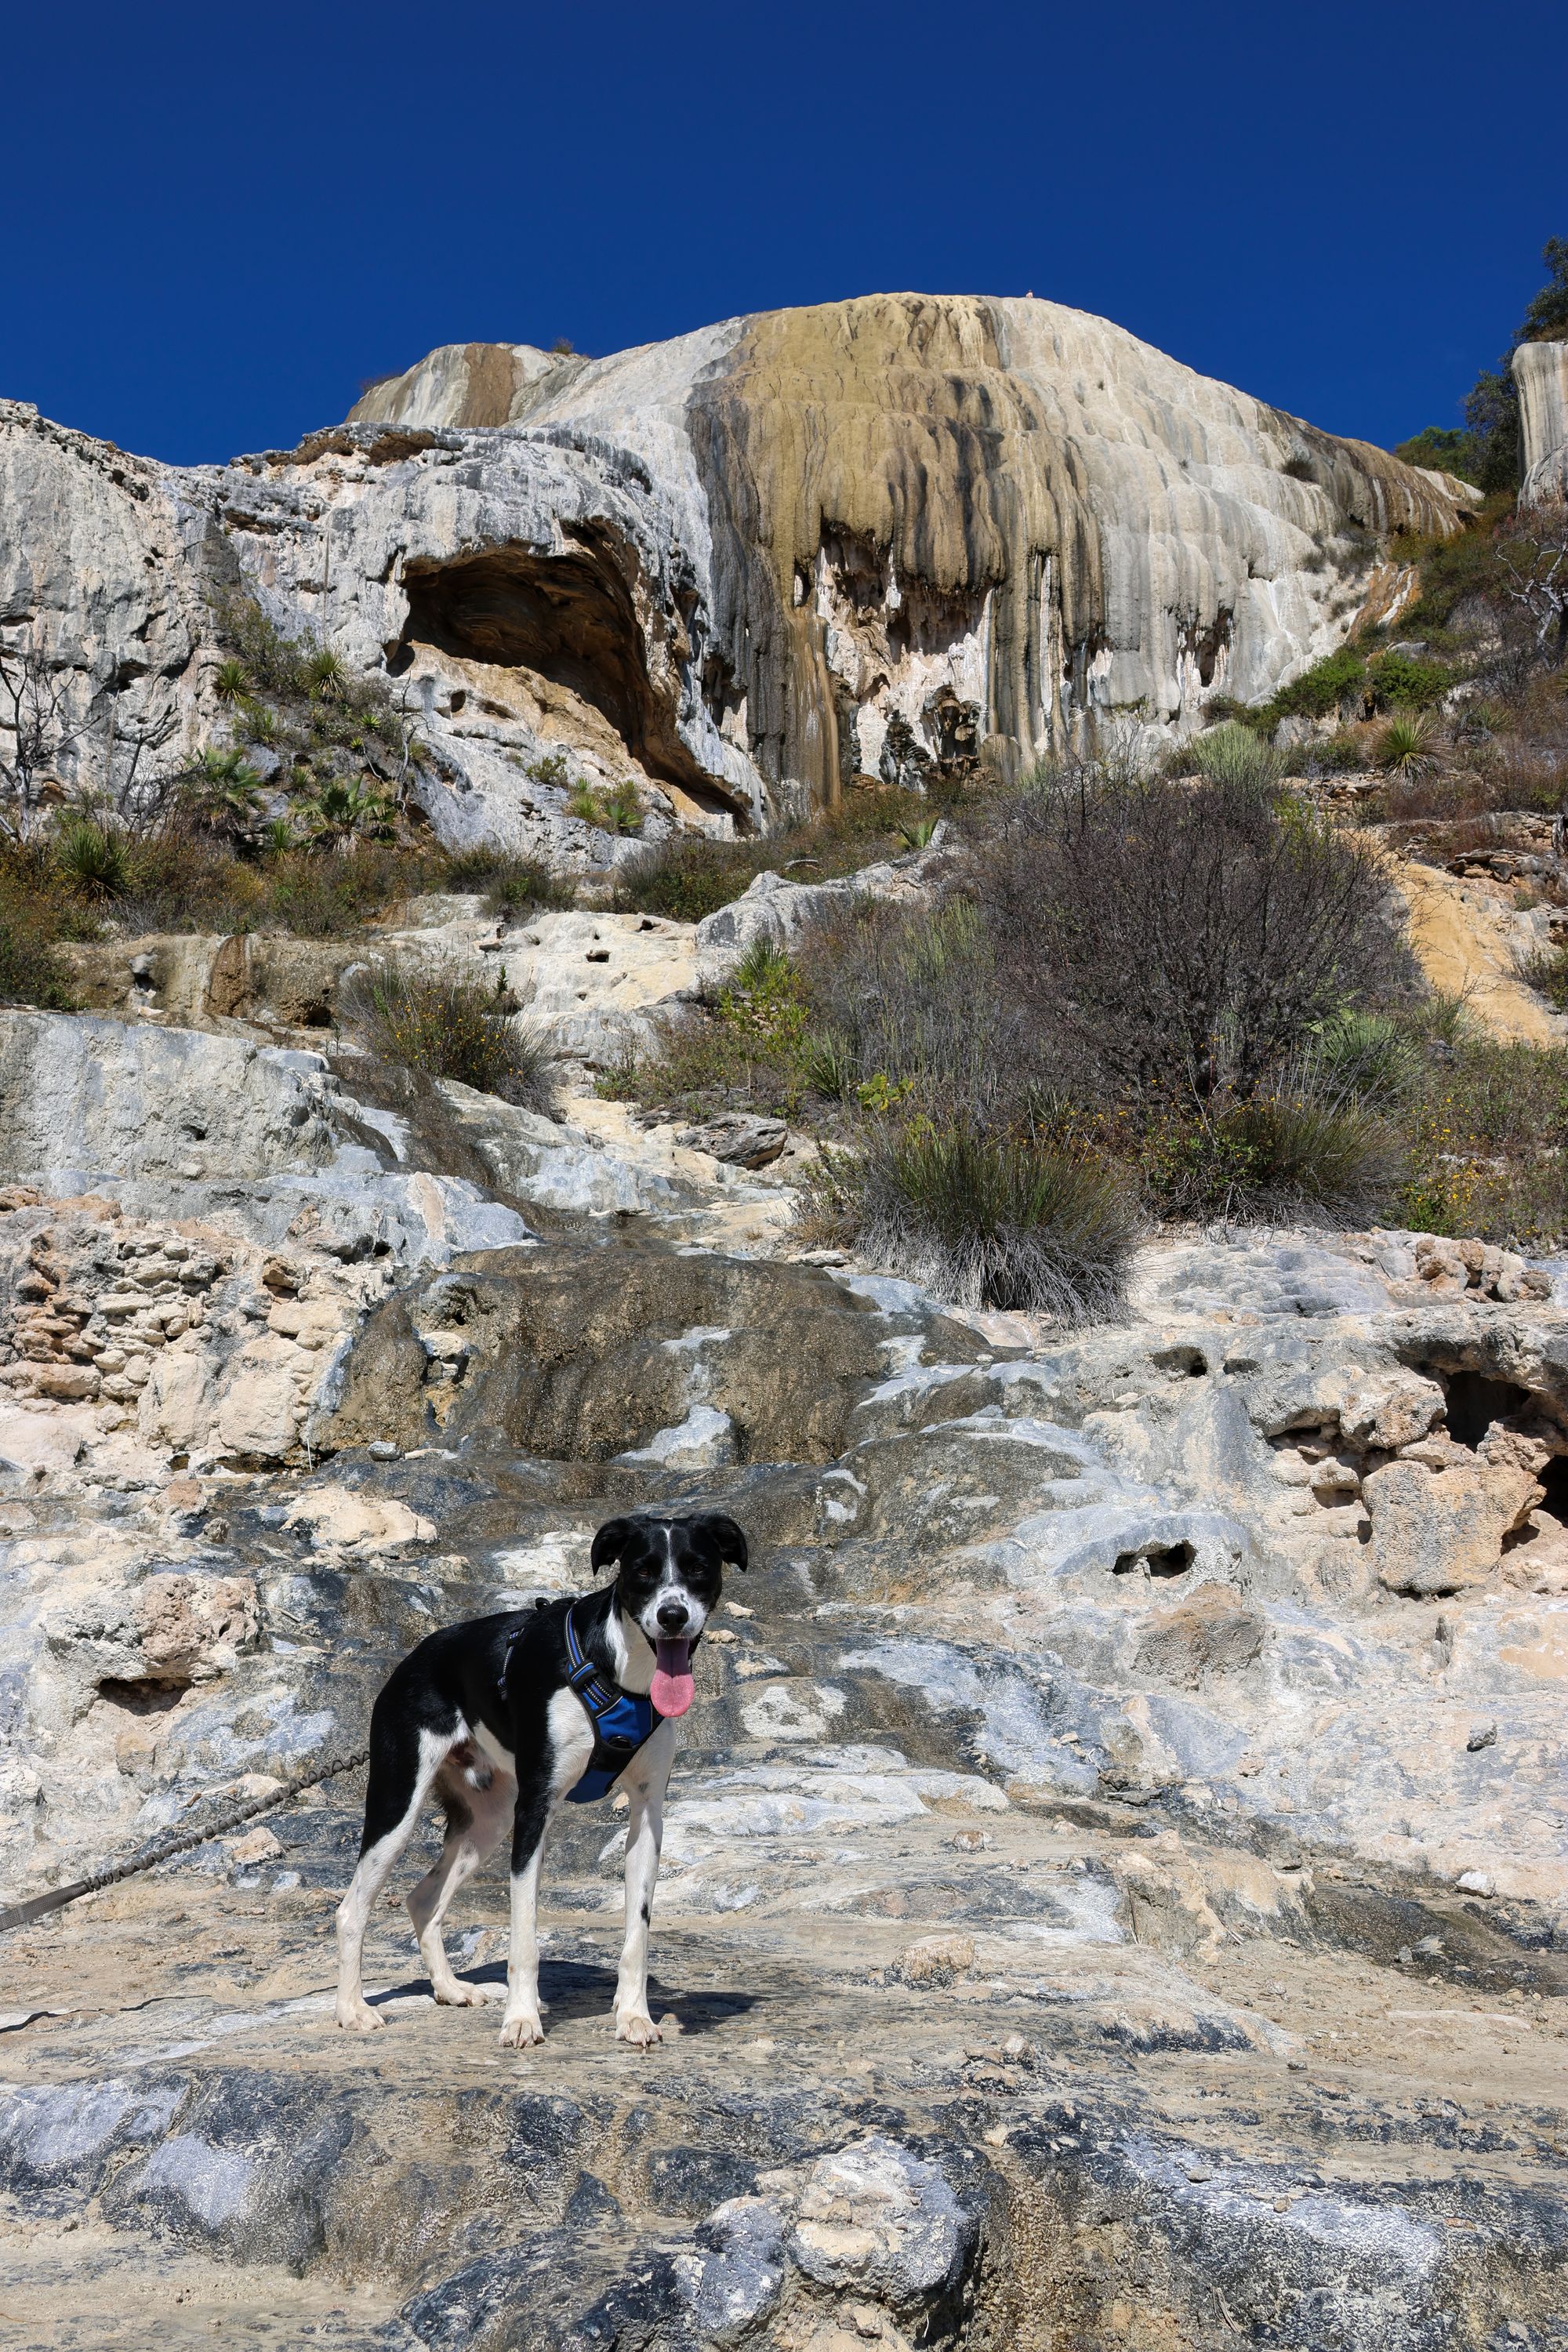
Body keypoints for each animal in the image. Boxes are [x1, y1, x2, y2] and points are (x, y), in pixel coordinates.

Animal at [333, 1515, 747, 2051]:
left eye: (698, 1568)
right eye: (643, 1571)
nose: (672, 1615)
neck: (619, 1668)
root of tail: (412, 1660)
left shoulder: (648, 1814)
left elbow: (637, 1932)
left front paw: (634, 2015)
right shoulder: (536, 1809)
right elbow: (525, 1935)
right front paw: (522, 2019)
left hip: (488, 1822)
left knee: (424, 1900)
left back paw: (450, 1989)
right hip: (398, 1806)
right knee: (352, 1909)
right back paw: (352, 2010)